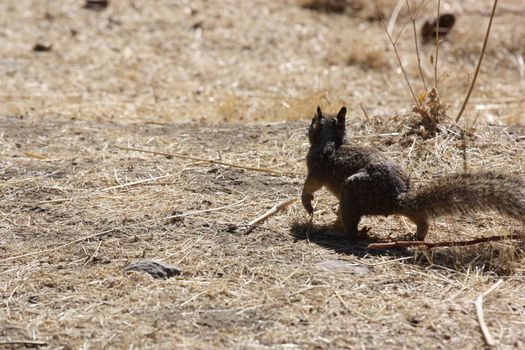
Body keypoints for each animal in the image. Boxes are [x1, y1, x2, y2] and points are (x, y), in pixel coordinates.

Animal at [300, 105, 524, 239]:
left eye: (312, 121)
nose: (307, 126)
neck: (333, 139)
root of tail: (396, 197)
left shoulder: (316, 168)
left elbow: (310, 185)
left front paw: (306, 201)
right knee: (419, 217)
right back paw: (420, 235)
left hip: (351, 192)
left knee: (353, 227)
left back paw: (342, 233)